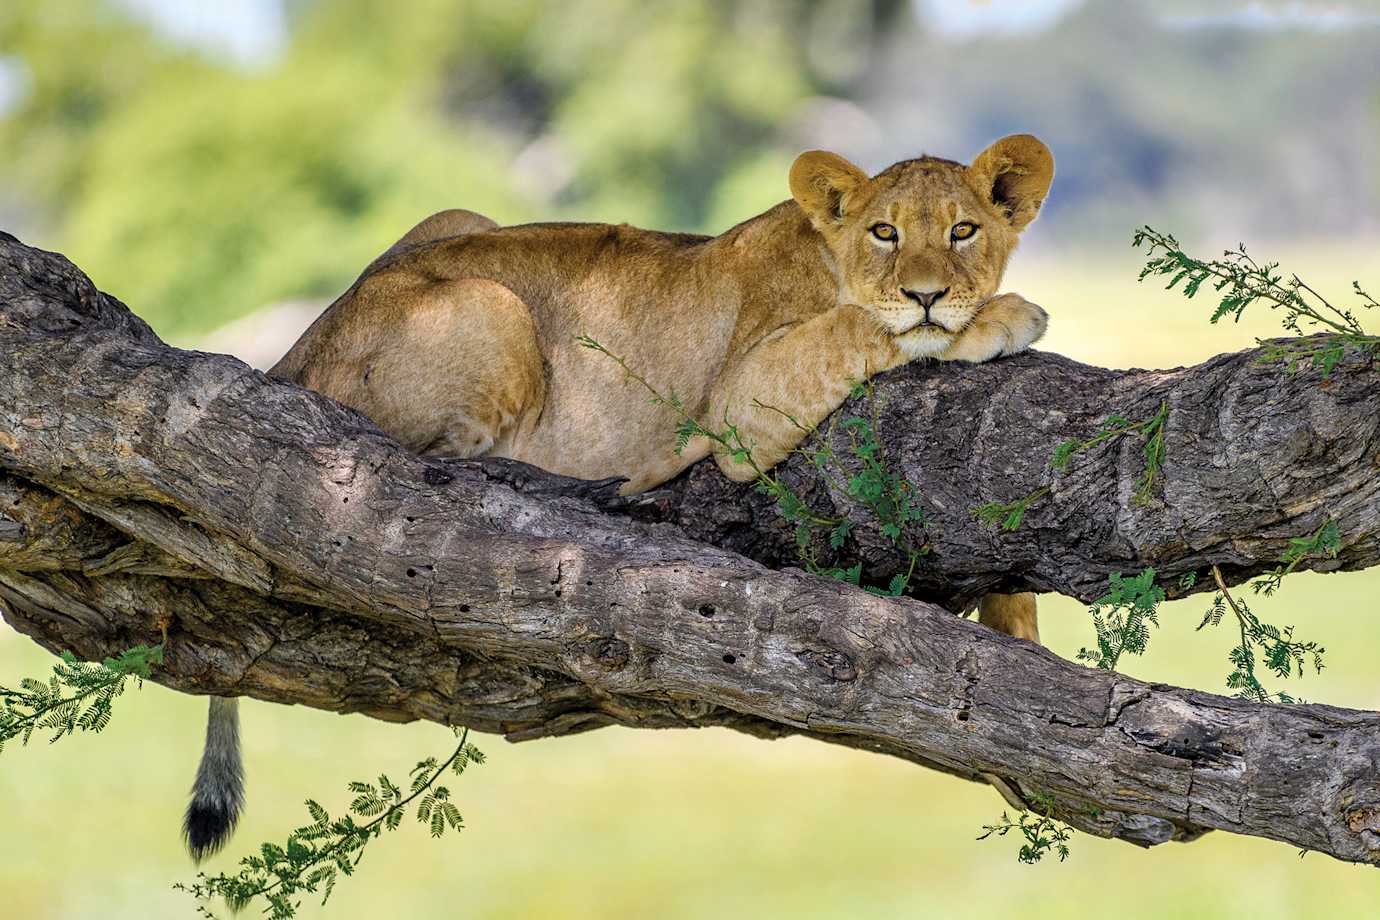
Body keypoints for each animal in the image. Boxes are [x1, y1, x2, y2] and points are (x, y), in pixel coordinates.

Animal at [182, 134, 1054, 859]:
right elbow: (871, 328)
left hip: (456, 223)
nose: (928, 292)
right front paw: (1002, 316)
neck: (827, 252)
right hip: (491, 304)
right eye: (884, 233)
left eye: (964, 230)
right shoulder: (741, 401)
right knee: (429, 464)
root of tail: (294, 351)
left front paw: (1022, 643)